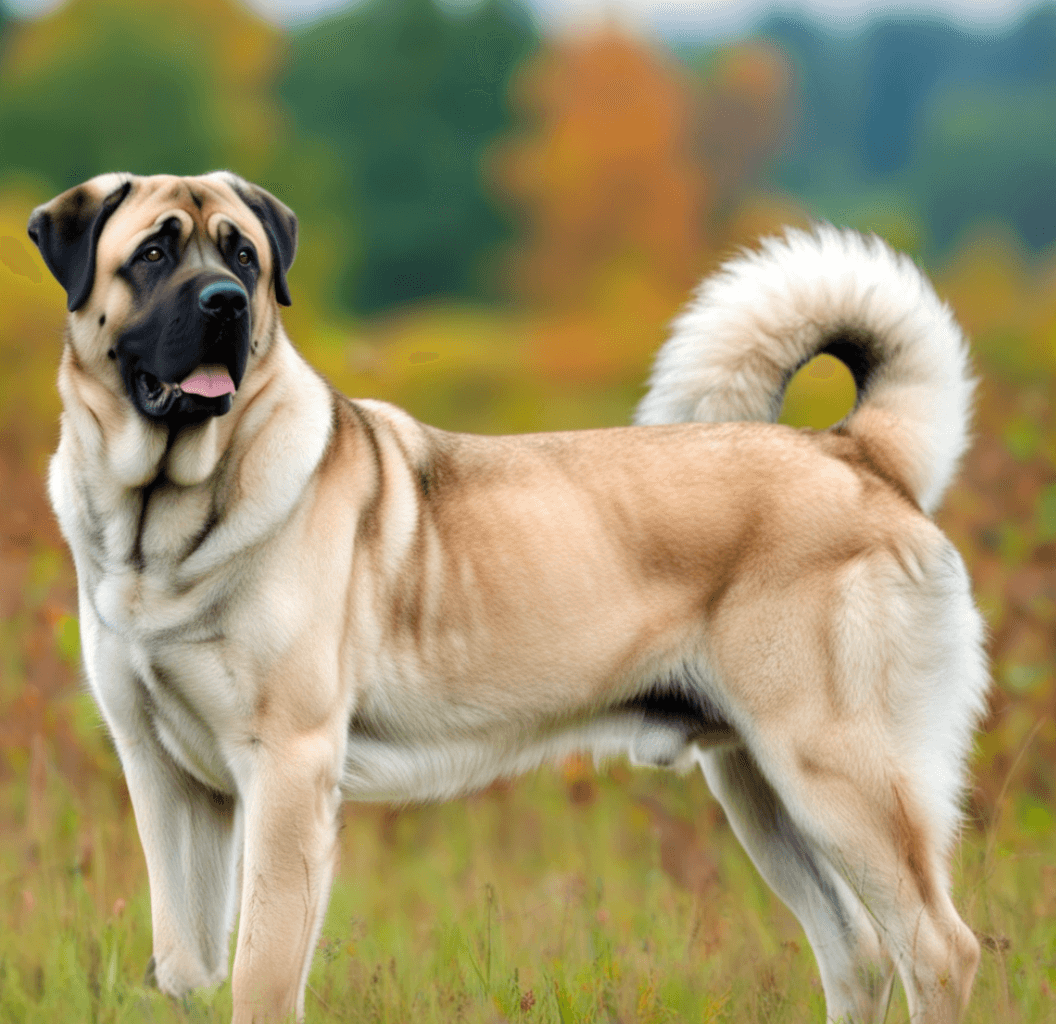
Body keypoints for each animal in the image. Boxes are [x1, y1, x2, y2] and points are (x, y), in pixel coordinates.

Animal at [28, 175, 984, 1021]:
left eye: (244, 257)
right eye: (154, 253)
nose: (226, 303)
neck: (163, 525)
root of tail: (859, 451)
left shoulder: (288, 772)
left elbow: (260, 977)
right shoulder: (167, 781)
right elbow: (188, 969)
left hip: (840, 776)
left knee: (939, 950)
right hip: (762, 788)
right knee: (857, 954)